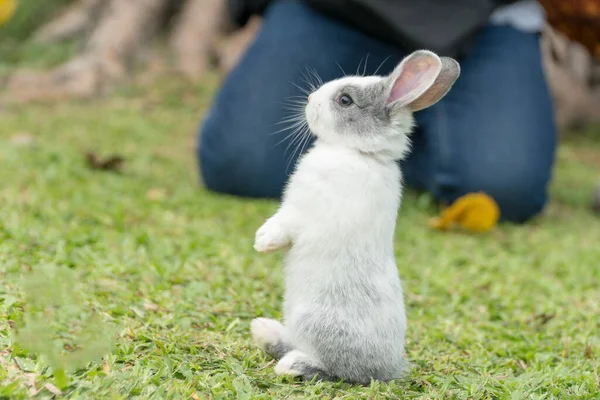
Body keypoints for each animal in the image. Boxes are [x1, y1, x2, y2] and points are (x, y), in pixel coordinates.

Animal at [248, 50, 460, 384]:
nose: (310, 99)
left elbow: (284, 224)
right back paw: (263, 329)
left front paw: (262, 242)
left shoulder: (303, 209)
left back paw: (289, 364)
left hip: (316, 325)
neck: (359, 152)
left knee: (333, 370)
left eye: (345, 100)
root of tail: (386, 370)